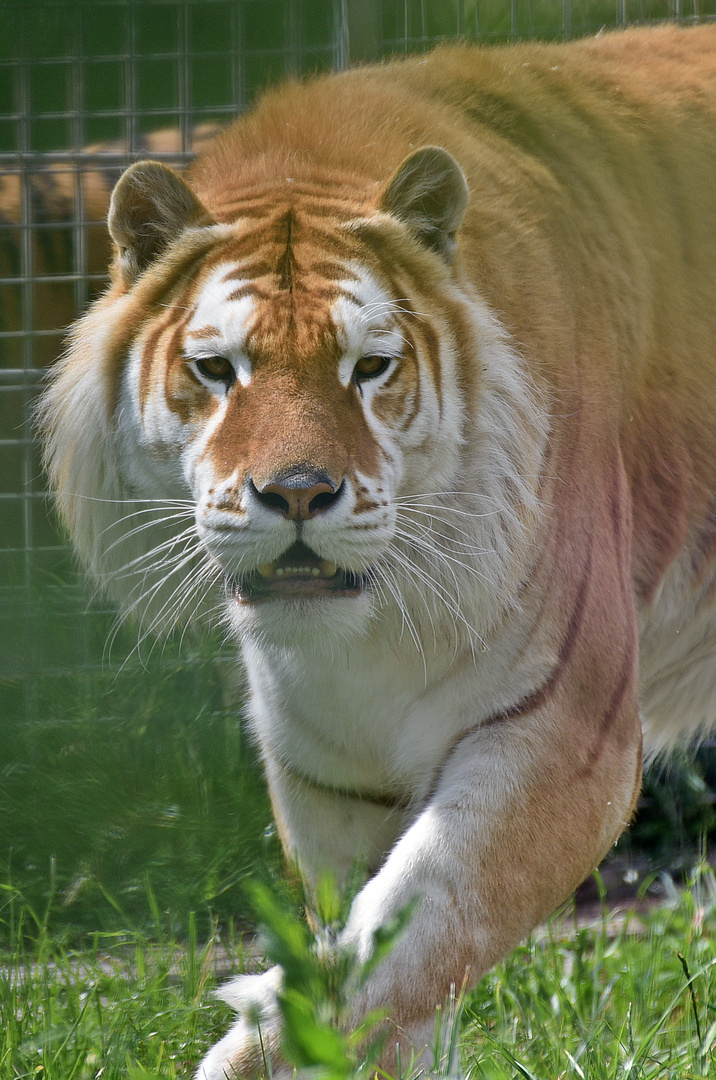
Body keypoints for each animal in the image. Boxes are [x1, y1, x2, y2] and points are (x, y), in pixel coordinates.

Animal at [37, 23, 716, 1080]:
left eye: (371, 367)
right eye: (217, 369)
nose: (297, 492)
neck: (366, 638)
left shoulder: (564, 736)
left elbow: (406, 935)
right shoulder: (333, 781)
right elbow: (386, 975)